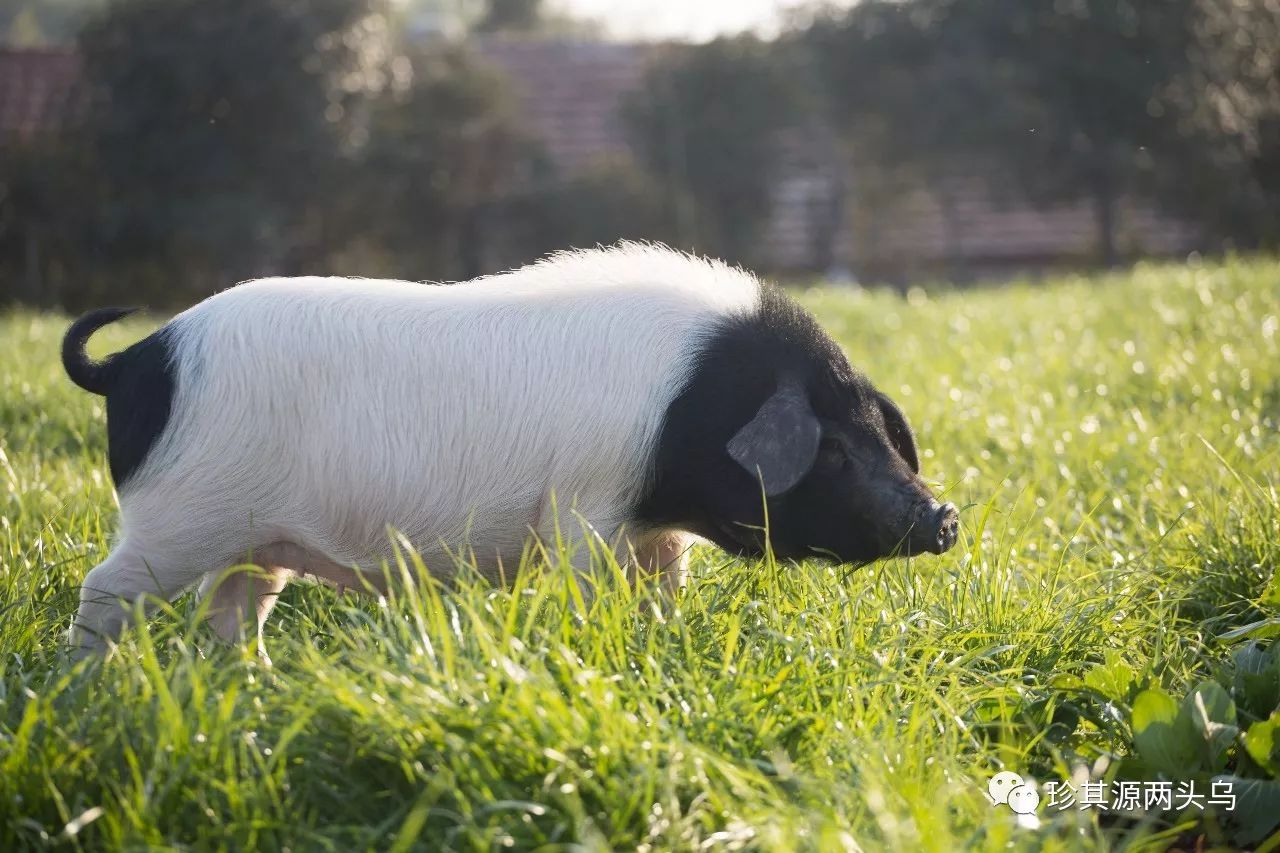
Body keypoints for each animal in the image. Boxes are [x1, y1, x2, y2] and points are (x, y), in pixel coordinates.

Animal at [62, 242, 962, 653]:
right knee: (107, 588)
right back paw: (87, 684)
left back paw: (246, 681)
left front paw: (662, 643)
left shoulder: (655, 530)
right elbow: (589, 587)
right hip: (180, 516)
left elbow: (664, 587)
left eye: (881, 434)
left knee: (233, 610)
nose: (946, 516)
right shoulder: (585, 506)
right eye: (834, 451)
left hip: (254, 538)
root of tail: (138, 359)